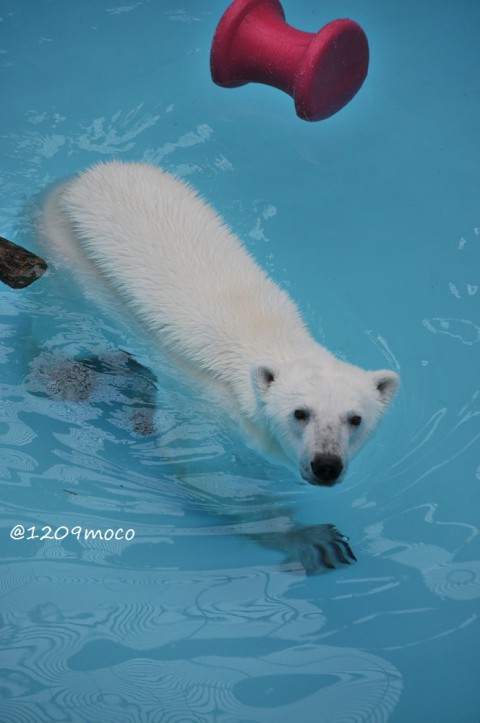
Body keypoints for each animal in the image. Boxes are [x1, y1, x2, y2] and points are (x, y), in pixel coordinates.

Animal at [41, 162, 400, 490]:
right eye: (300, 413)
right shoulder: (202, 400)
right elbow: (202, 466)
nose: (326, 465)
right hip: (67, 248)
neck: (274, 338)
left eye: (355, 419)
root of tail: (89, 174)